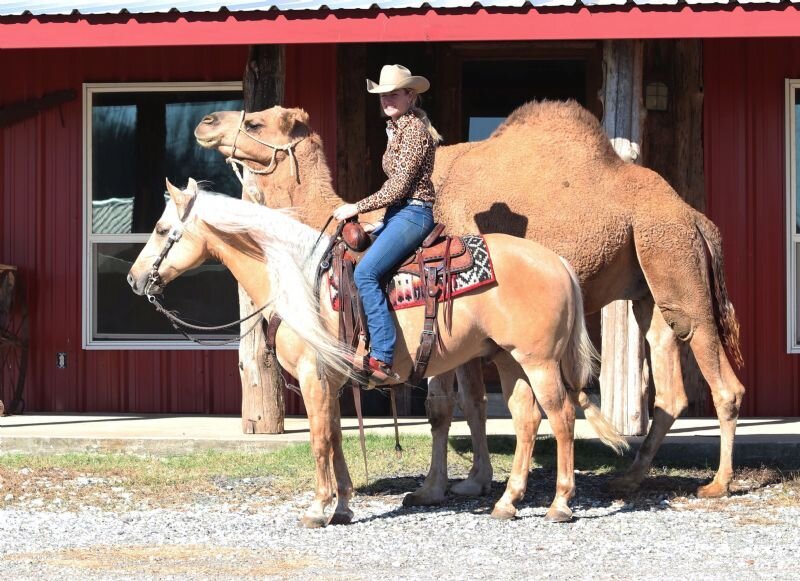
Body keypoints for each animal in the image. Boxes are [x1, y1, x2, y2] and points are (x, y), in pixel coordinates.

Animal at [127, 178, 627, 527]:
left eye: (162, 229)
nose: (134, 279)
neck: (297, 279)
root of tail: (556, 261)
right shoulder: (330, 380)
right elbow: (335, 438)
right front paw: (343, 506)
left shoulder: (312, 375)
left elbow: (319, 440)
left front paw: (318, 508)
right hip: (509, 359)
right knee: (526, 419)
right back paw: (507, 502)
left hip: (539, 361)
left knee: (561, 418)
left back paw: (560, 504)